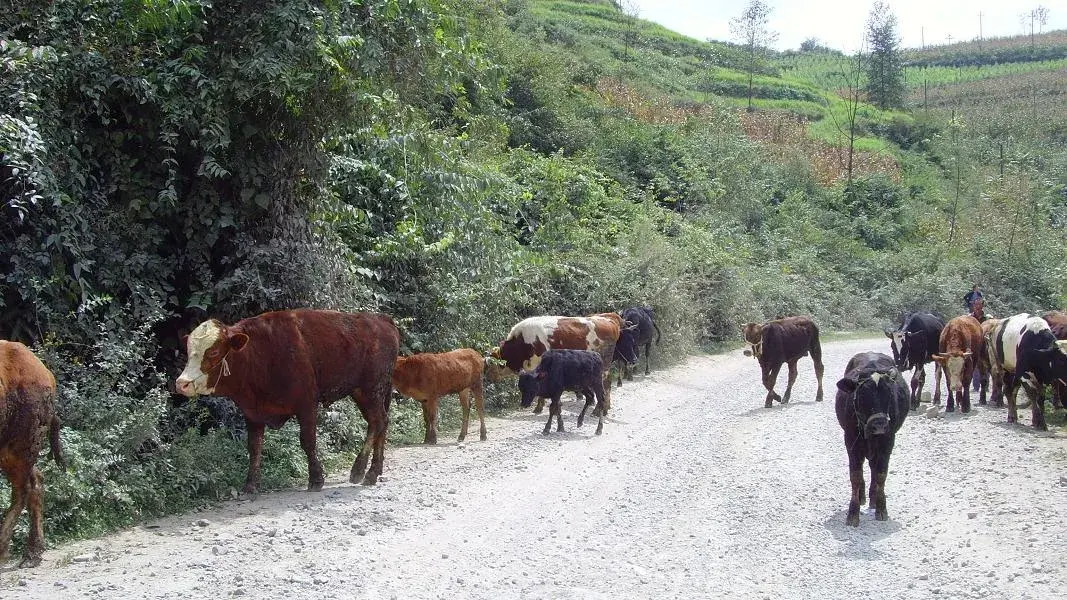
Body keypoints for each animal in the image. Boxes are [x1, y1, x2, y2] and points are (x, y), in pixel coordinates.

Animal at [176, 307, 401, 491]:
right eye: (188, 351)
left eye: (213, 351)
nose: (182, 383)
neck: (260, 354)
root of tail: (380, 319)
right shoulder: (252, 412)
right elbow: (254, 447)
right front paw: (250, 485)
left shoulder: (307, 403)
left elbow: (308, 441)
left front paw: (316, 479)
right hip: (363, 392)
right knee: (381, 423)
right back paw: (375, 470)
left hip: (372, 388)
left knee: (378, 421)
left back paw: (360, 470)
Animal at [832, 352, 909, 525]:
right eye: (862, 394)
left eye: (889, 393)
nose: (879, 424)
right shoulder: (851, 441)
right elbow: (855, 474)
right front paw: (853, 513)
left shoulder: (888, 441)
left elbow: (881, 473)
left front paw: (881, 508)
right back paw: (862, 496)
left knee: (874, 467)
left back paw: (873, 497)